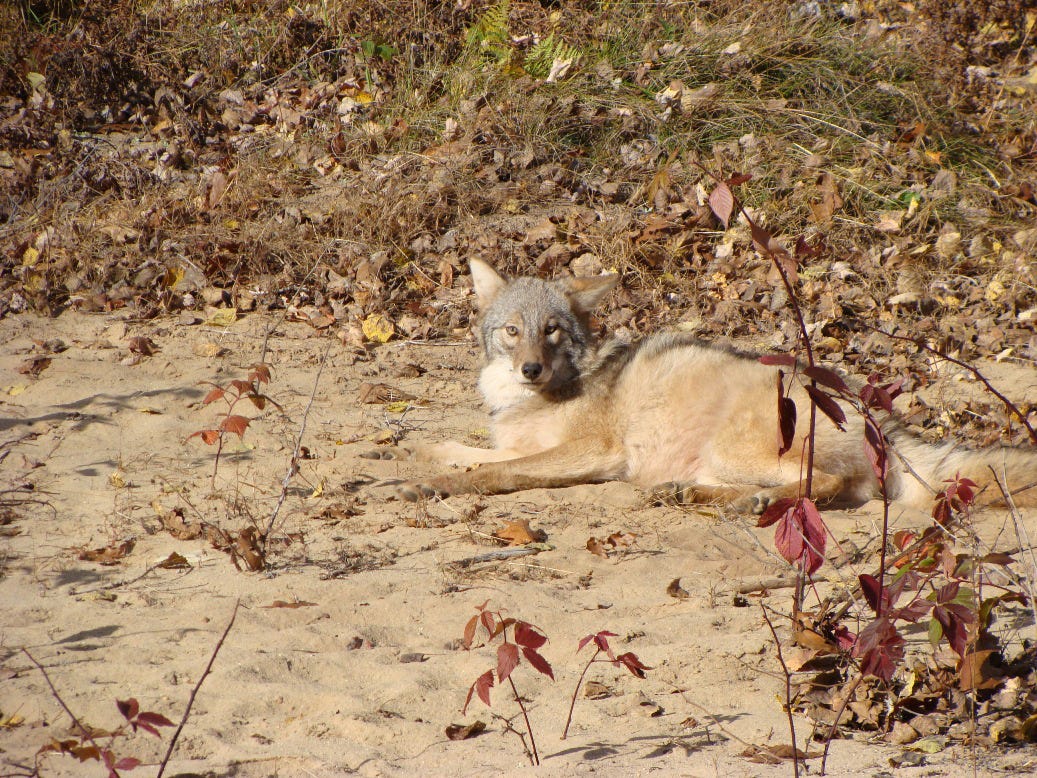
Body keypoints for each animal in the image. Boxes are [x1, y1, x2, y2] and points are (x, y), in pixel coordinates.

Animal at [368, 258, 1037, 512]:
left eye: (552, 331)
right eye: (513, 331)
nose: (531, 368)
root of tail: (883, 419)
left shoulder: (588, 455)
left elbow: (494, 474)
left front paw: (425, 485)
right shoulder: (511, 442)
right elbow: (456, 451)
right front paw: (401, 460)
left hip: (738, 447)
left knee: (836, 487)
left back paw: (753, 504)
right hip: (718, 458)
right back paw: (690, 494)